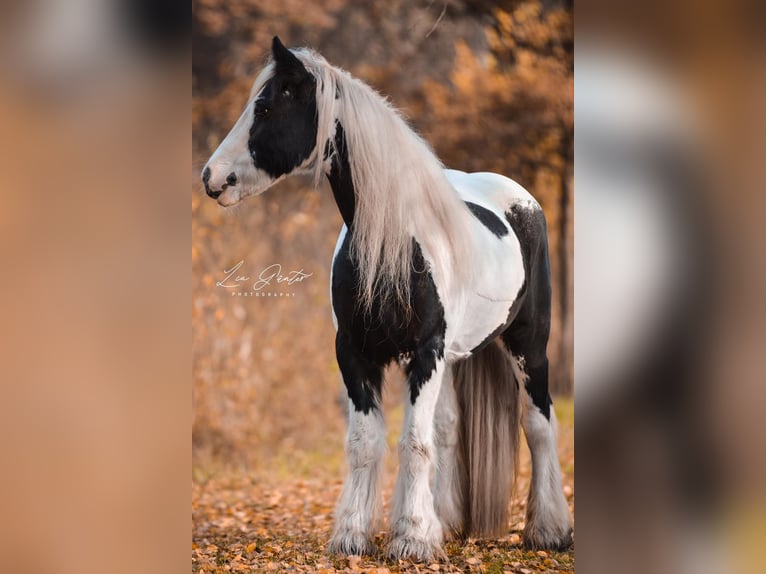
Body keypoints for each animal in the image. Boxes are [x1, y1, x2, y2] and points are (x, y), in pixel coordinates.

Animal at [201, 36, 572, 564]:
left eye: (266, 106)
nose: (212, 177)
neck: (392, 243)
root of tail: (521, 199)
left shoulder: (424, 352)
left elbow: (412, 442)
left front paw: (411, 539)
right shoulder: (355, 353)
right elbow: (365, 441)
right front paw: (355, 535)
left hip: (528, 345)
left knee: (538, 425)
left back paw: (549, 531)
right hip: (455, 357)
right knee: (448, 428)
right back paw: (448, 523)